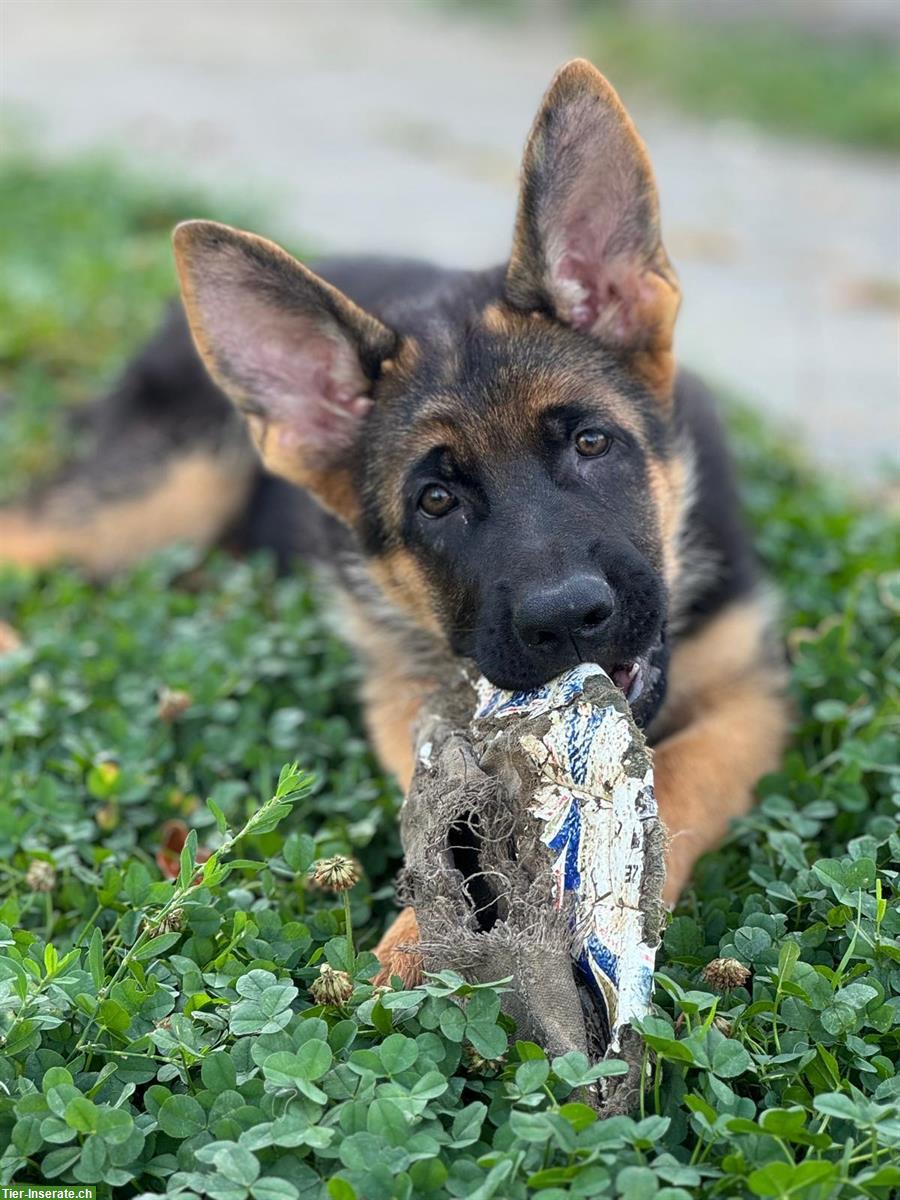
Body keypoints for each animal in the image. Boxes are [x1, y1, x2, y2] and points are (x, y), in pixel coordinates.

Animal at [0, 60, 787, 979]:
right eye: (435, 501)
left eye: (592, 442)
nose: (568, 620)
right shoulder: (412, 698)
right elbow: (461, 812)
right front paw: (424, 949)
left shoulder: (751, 696)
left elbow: (679, 776)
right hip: (168, 488)